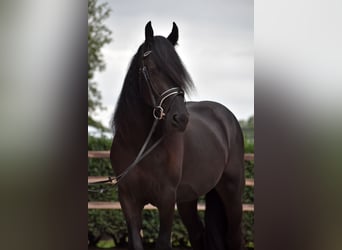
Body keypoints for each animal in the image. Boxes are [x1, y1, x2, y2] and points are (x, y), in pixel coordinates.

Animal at [111, 21, 244, 250]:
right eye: (153, 70)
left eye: (180, 73)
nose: (181, 118)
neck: (140, 146)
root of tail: (228, 118)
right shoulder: (128, 200)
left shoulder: (166, 200)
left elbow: (164, 242)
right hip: (188, 199)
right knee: (198, 234)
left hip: (233, 191)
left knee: (235, 237)